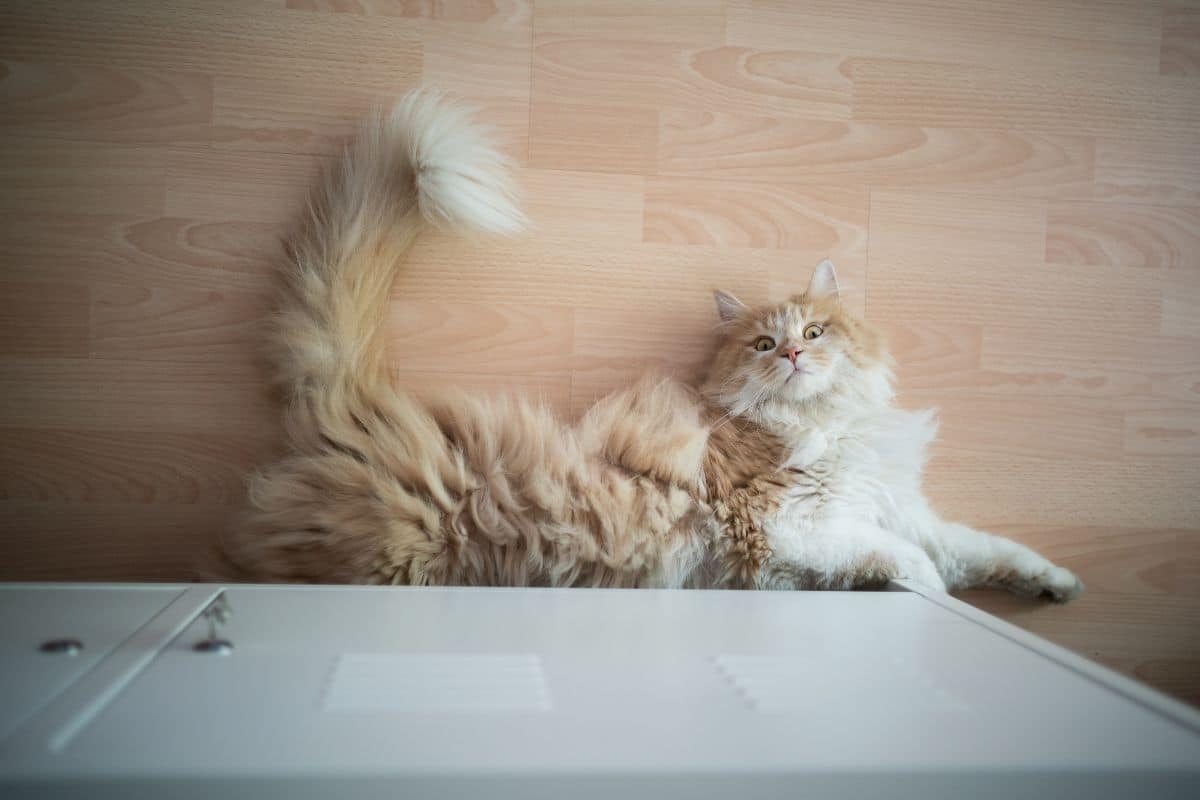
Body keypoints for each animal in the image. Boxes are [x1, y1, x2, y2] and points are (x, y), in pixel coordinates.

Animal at [218, 90, 1089, 604]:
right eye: (764, 341)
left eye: (814, 332)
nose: (793, 357)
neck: (825, 430)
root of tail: (356, 411)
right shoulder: (788, 525)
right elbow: (908, 558)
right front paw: (930, 597)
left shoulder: (895, 509)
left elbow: (981, 546)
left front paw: (1053, 582)